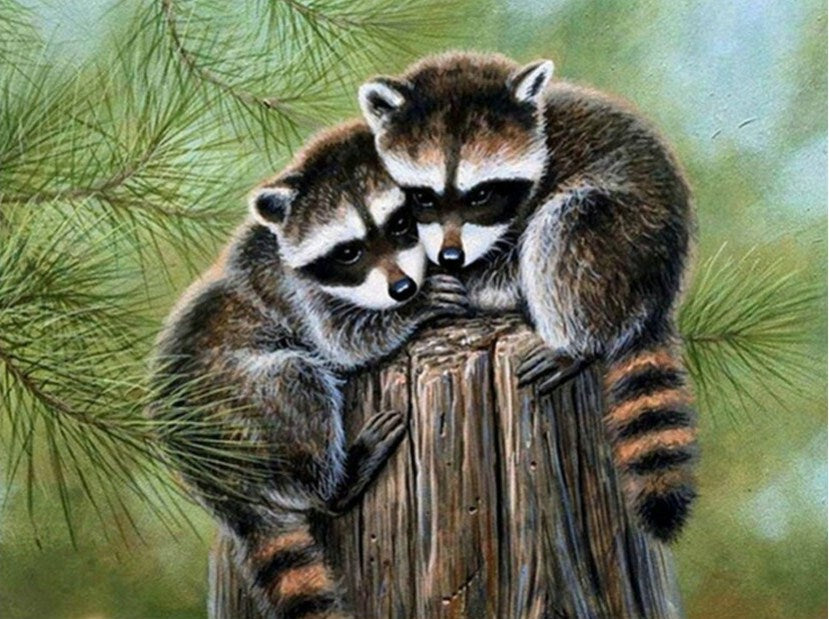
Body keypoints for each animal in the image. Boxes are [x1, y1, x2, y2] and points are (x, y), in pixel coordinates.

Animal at [151, 121, 468, 618]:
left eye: (401, 223)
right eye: (348, 250)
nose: (402, 289)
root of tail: (215, 484)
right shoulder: (294, 292)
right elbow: (343, 341)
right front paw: (414, 309)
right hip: (243, 409)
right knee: (293, 384)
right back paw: (338, 482)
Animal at [357, 53, 697, 542]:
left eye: (481, 193)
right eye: (423, 197)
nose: (451, 256)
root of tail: (659, 292)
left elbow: (511, 266)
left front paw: (460, 285)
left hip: (623, 238)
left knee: (565, 227)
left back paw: (574, 343)